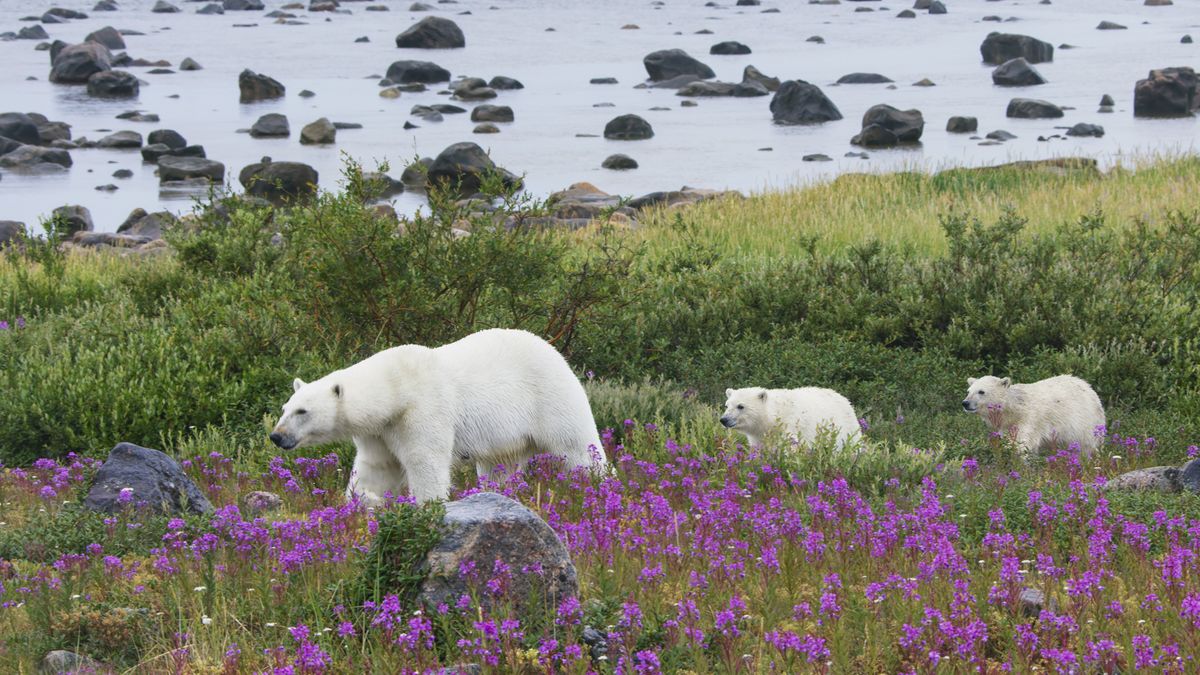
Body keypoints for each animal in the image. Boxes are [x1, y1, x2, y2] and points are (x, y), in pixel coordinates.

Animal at [273, 329, 609, 502]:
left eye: (303, 411)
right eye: (285, 408)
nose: (277, 436)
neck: (396, 386)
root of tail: (555, 351)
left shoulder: (421, 410)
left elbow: (425, 462)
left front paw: (428, 508)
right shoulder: (379, 431)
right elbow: (376, 468)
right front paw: (361, 504)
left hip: (550, 398)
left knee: (578, 448)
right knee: (500, 467)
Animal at [964, 372, 1104, 456]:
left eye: (981, 391)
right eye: (968, 391)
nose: (965, 403)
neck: (1016, 409)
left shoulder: (1030, 419)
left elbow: (1023, 443)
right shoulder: (1007, 425)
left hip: (1085, 423)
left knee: (1086, 446)